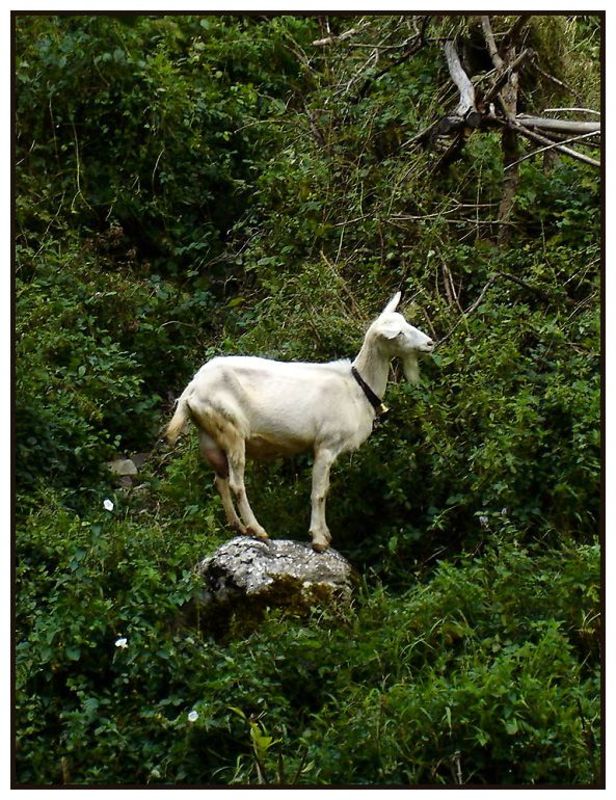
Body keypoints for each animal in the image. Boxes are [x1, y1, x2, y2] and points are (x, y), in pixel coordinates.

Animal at [165, 292, 434, 551]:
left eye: (407, 323)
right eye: (399, 333)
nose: (429, 343)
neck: (357, 388)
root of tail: (192, 389)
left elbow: (325, 490)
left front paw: (325, 534)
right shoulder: (326, 445)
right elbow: (318, 493)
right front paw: (318, 539)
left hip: (211, 436)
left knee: (219, 481)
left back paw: (238, 527)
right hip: (231, 430)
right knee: (236, 484)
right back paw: (258, 530)